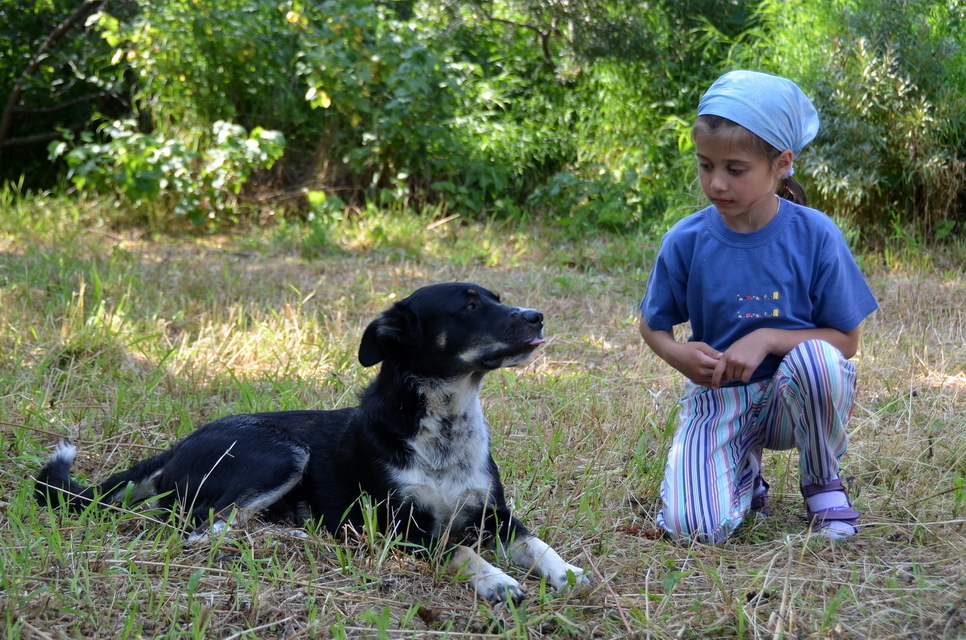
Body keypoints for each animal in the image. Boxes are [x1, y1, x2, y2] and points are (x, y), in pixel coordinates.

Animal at [36, 282, 588, 604]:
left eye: (496, 297)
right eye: (470, 305)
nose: (537, 316)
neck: (445, 426)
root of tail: (177, 446)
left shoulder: (496, 516)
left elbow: (538, 544)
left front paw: (568, 573)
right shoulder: (402, 529)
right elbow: (462, 552)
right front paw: (496, 580)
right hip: (280, 454)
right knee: (202, 529)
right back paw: (291, 539)